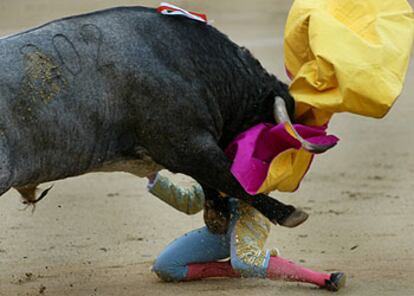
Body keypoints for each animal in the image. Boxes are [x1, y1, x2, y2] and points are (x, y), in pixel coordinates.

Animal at [0, 6, 308, 231]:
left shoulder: (189, 146)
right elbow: (230, 176)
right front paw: (288, 213)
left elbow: (215, 178)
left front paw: (217, 219)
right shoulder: (187, 143)